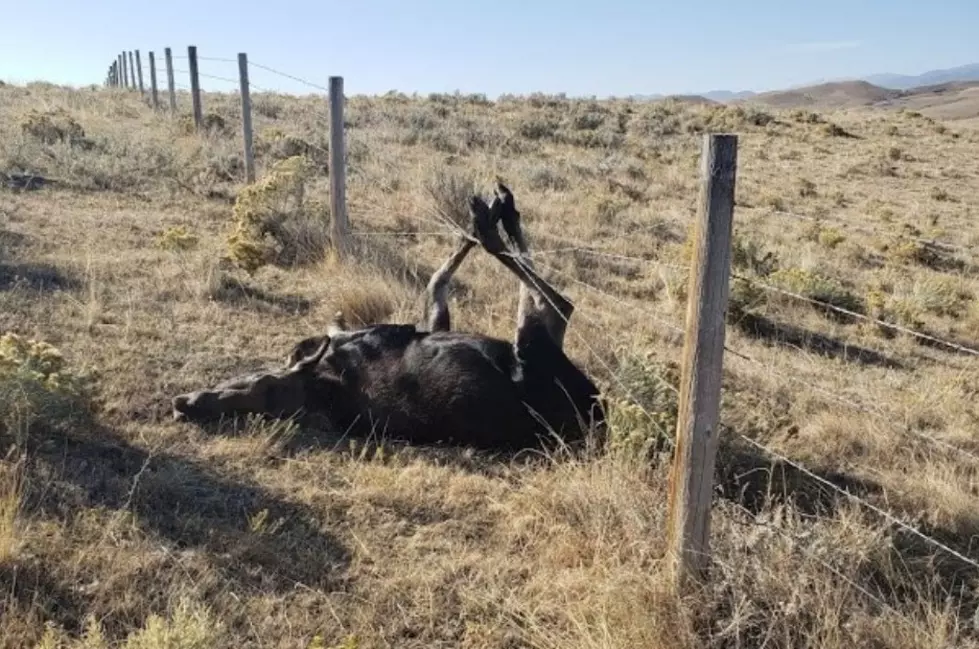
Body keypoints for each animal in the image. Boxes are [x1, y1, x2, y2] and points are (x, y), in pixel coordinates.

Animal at [174, 182, 604, 448]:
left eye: (260, 382)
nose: (185, 402)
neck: (326, 384)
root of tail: (595, 409)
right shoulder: (411, 327)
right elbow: (437, 279)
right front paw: (476, 224)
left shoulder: (427, 323)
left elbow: (436, 279)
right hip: (532, 343)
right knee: (555, 298)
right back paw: (493, 219)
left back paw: (498, 213)